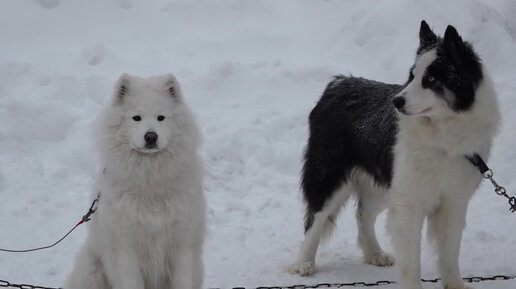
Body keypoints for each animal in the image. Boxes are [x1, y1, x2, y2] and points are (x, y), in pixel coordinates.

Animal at [62, 73, 204, 288]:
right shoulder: (127, 251)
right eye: (136, 118)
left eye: (161, 118)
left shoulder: (182, 246)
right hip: (92, 268)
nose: (151, 136)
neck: (150, 181)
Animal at [288, 20, 498, 288]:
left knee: (363, 215)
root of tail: (338, 84)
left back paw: (374, 254)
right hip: (329, 175)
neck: (442, 134)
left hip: (384, 183)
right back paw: (303, 263)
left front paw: (455, 285)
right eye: (412, 75)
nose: (396, 102)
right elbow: (412, 262)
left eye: (431, 79)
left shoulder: (454, 201)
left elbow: (450, 254)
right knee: (315, 218)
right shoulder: (409, 205)